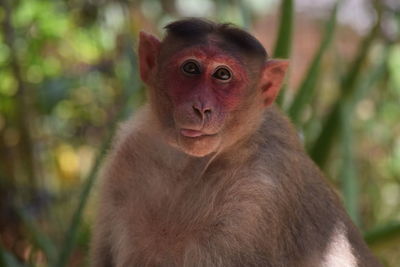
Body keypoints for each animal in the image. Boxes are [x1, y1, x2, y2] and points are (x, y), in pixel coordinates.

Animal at [90, 18, 382, 267]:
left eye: (223, 75)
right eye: (190, 68)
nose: (201, 107)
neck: (189, 164)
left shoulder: (259, 195)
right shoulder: (126, 152)